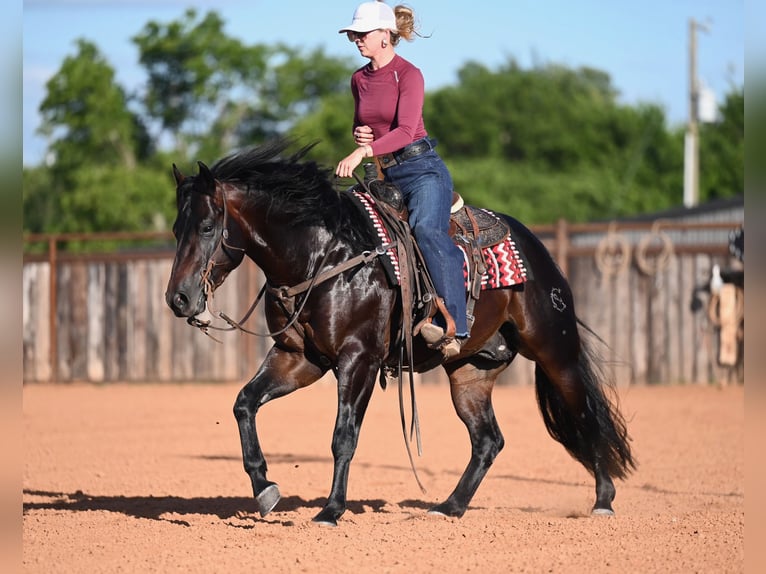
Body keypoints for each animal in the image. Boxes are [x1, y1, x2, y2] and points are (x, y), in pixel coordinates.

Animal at [165, 139, 636, 526]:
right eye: (176, 228)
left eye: (207, 227)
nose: (178, 299)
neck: (324, 256)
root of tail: (537, 250)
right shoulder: (298, 359)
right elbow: (244, 403)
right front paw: (264, 489)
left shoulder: (360, 359)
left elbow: (343, 436)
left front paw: (331, 511)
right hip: (471, 372)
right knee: (488, 440)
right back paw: (449, 507)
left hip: (556, 352)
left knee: (585, 415)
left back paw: (603, 501)